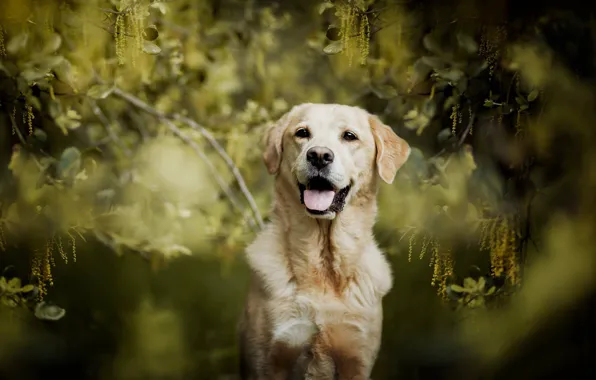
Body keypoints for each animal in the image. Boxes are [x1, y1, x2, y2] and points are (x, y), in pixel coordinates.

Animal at [237, 102, 410, 378]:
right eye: (302, 133)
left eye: (349, 136)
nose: (319, 155)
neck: (323, 266)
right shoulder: (268, 360)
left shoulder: (356, 358)